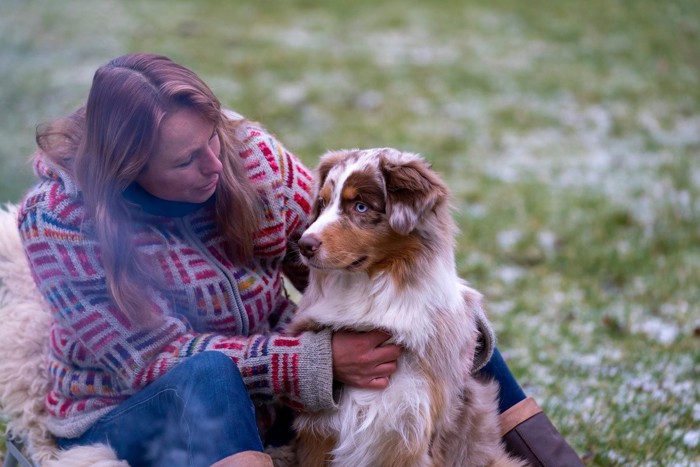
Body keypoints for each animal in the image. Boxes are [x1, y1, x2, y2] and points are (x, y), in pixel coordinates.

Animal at [288, 148, 528, 466]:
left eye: (361, 207)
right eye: (323, 202)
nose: (303, 244)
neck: (369, 298)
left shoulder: (409, 428)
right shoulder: (318, 430)